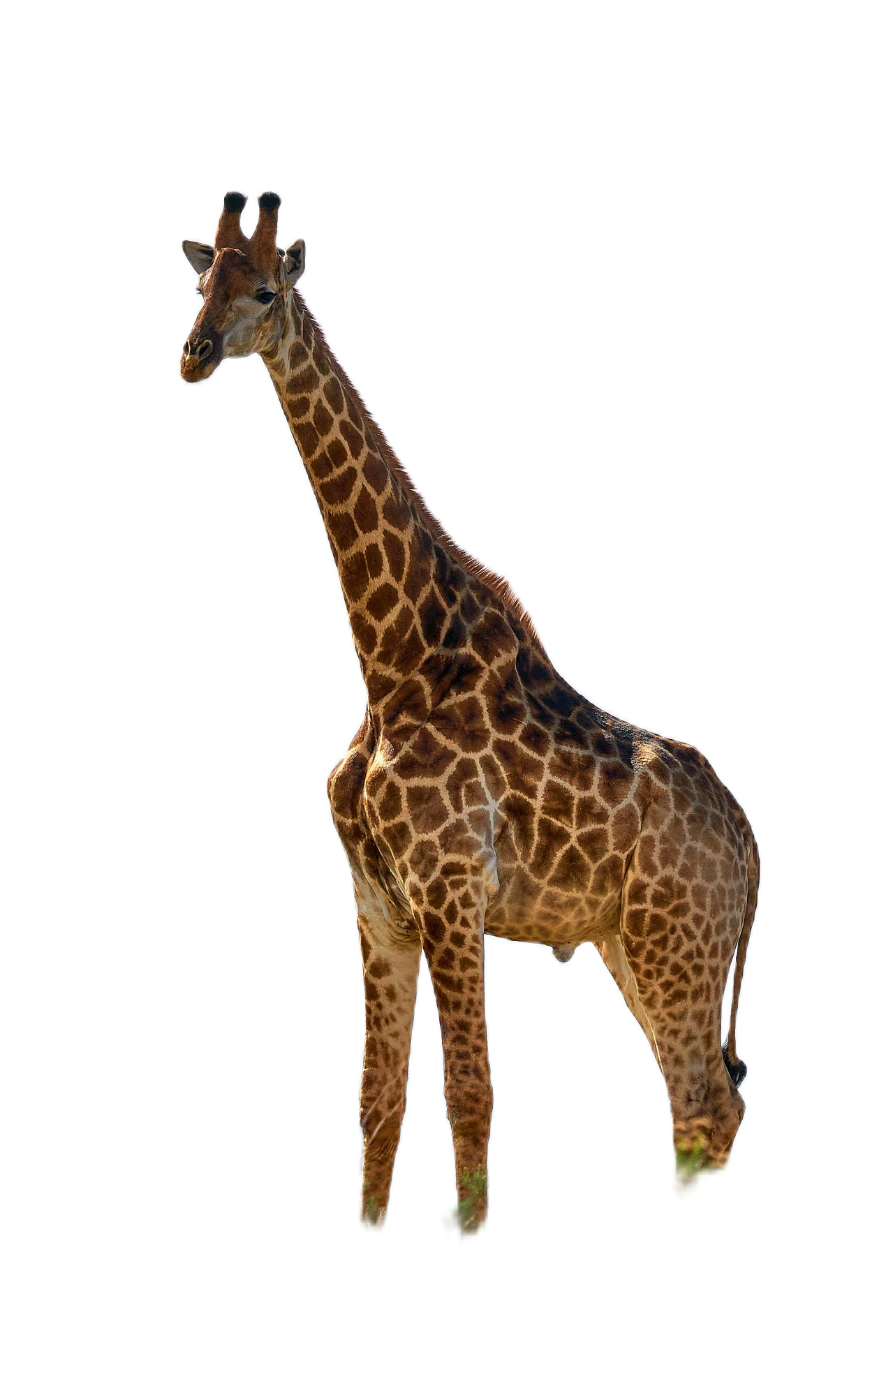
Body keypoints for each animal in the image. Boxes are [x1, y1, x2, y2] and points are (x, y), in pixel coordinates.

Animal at [180, 192, 760, 1233]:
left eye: (267, 290)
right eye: (203, 284)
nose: (196, 352)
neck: (391, 660)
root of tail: (749, 845)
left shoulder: (453, 890)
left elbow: (472, 1087)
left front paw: (465, 1235)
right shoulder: (379, 902)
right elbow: (376, 1096)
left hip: (676, 944)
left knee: (702, 1099)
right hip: (643, 943)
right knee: (707, 1100)